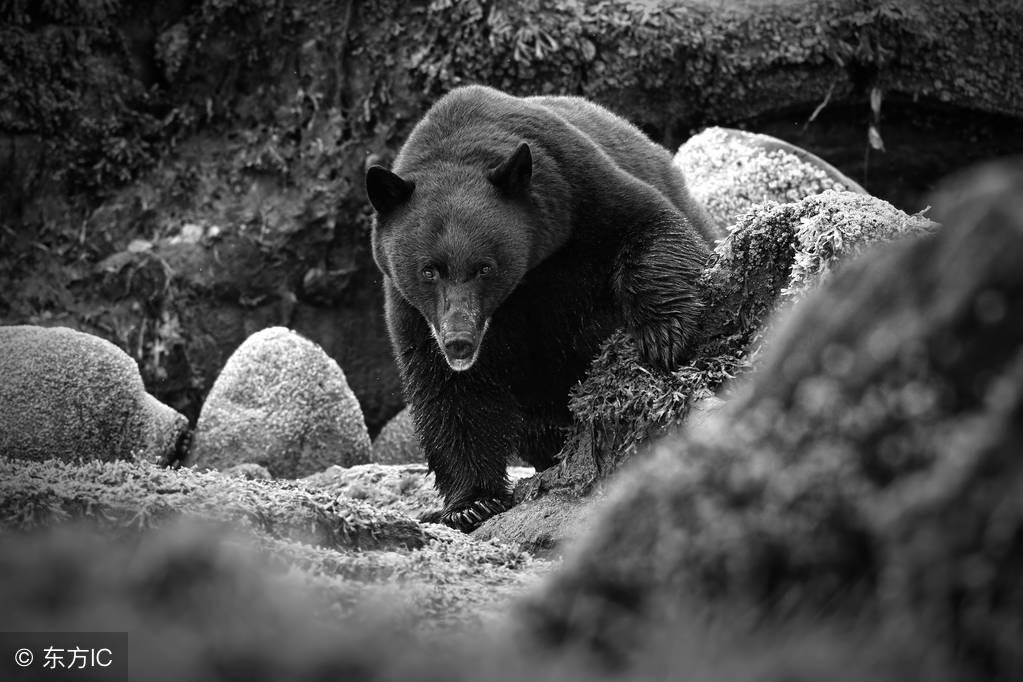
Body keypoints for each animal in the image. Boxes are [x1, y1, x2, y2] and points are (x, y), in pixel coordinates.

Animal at [368, 85, 720, 531]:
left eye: (485, 267)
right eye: (428, 270)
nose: (459, 341)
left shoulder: (578, 189)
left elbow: (649, 225)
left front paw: (662, 336)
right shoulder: (411, 310)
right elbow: (450, 393)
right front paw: (472, 503)